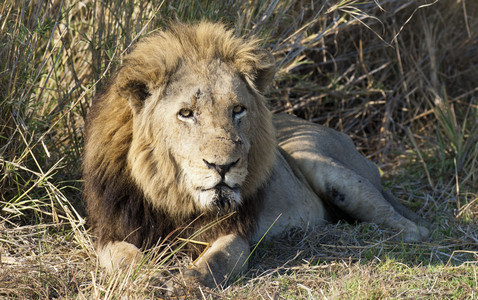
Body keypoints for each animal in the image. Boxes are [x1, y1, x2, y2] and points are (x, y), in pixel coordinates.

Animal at [82, 21, 430, 288]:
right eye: (186, 113)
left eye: (238, 109)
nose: (223, 166)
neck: (174, 197)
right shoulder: (108, 232)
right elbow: (124, 258)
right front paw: (147, 277)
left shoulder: (236, 232)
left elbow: (217, 261)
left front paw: (186, 283)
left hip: (319, 163)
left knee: (407, 223)